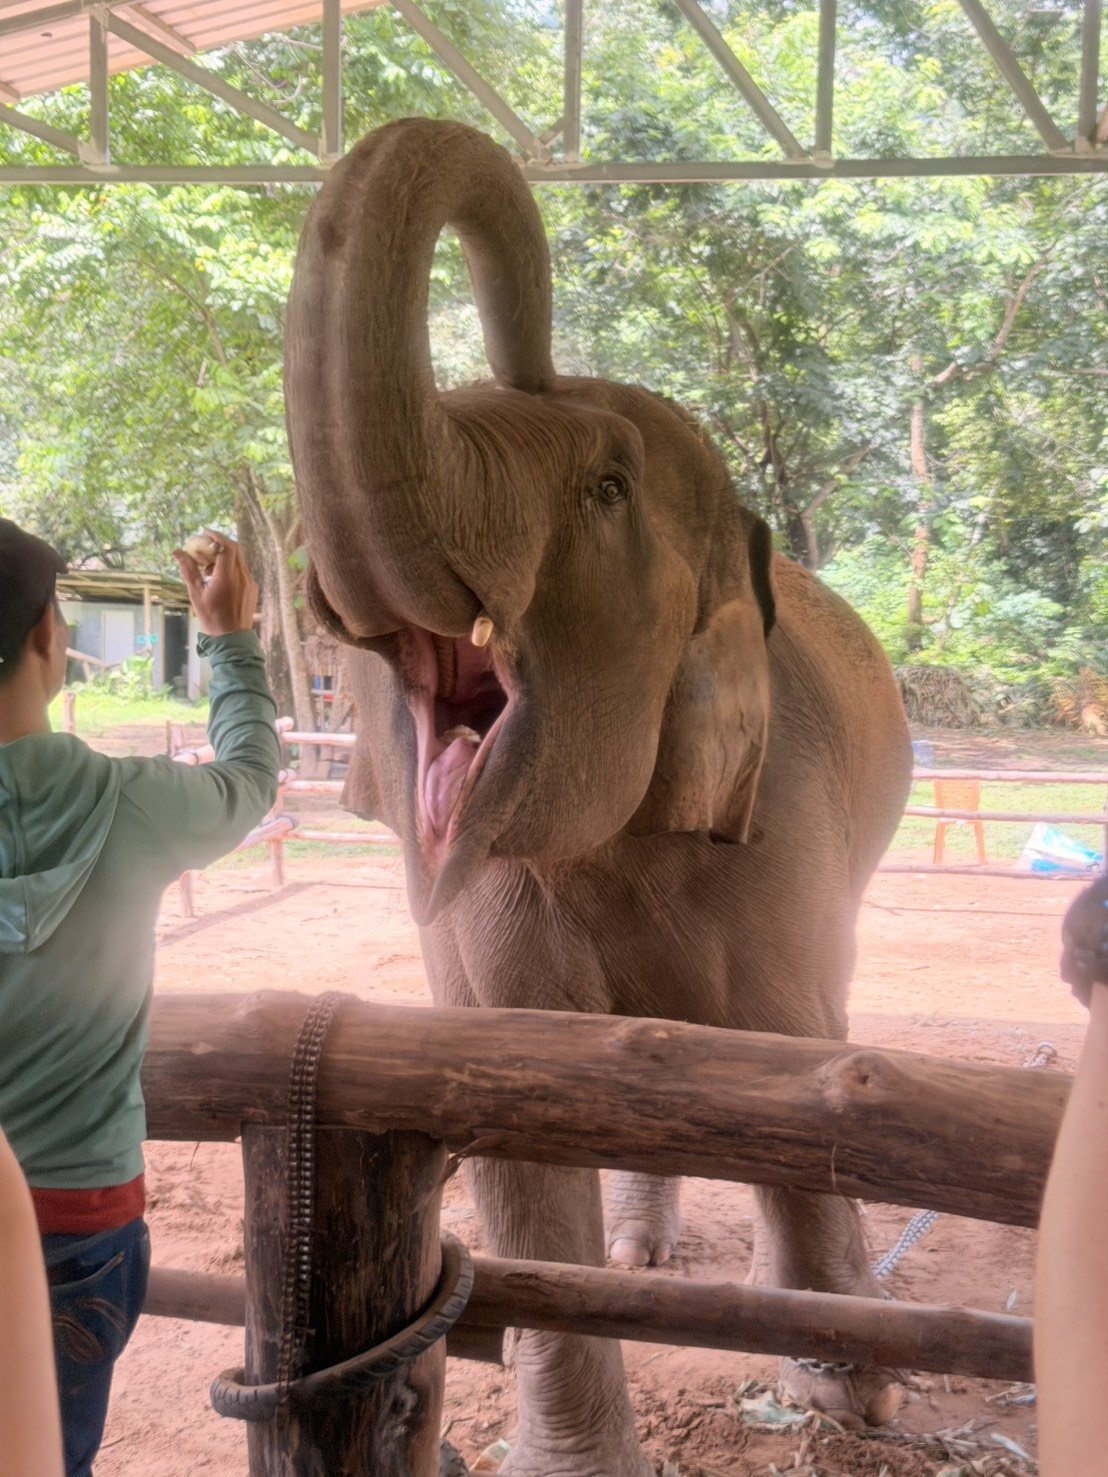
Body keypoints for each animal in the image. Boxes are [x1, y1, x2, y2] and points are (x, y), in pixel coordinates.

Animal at [286, 117, 913, 1476]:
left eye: (609, 485)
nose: (530, 353)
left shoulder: (781, 824)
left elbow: (795, 1068)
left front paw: (853, 1397)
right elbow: (518, 1117)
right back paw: (637, 1258)